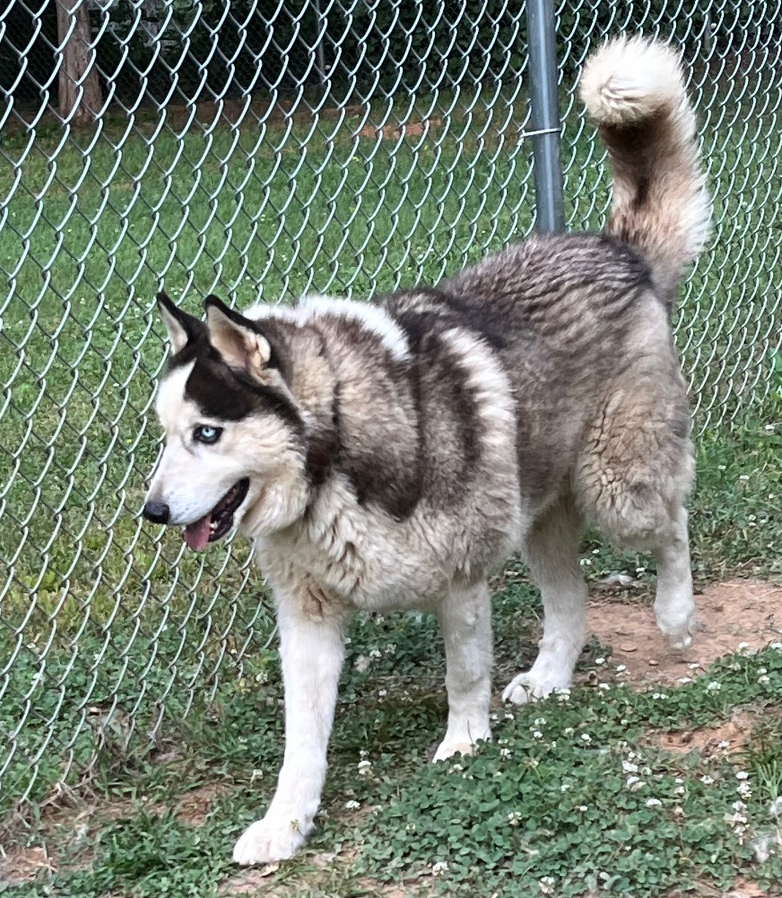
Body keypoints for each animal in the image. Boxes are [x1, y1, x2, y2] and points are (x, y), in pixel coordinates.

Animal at [144, 38, 712, 864]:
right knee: (570, 602)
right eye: (164, 433)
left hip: (619, 488)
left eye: (206, 434)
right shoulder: (308, 618)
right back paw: (550, 676)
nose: (152, 511)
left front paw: (465, 746)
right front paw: (285, 825)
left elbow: (463, 674)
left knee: (672, 528)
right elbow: (301, 743)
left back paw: (675, 616)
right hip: (541, 516)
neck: (333, 463)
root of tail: (615, 251)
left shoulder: (462, 577)